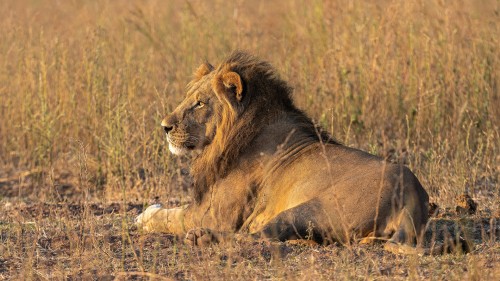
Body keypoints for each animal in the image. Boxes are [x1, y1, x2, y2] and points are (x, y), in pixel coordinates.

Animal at [137, 50, 430, 252]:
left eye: (199, 103)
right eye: (188, 99)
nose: (164, 126)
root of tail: (412, 196)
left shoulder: (214, 215)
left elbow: (171, 216)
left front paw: (144, 215)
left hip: (312, 207)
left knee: (257, 236)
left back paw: (203, 237)